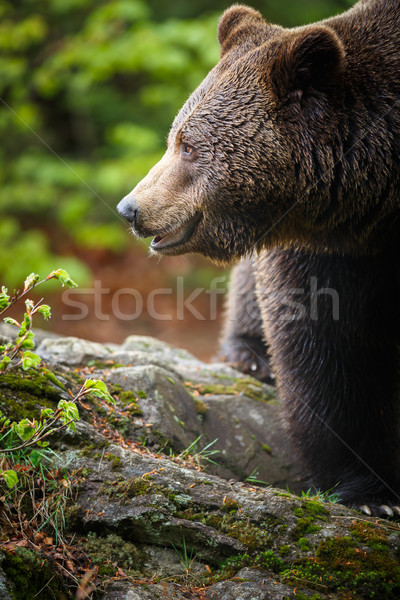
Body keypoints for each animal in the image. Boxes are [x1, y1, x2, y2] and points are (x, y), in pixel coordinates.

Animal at [117, 0, 400, 516]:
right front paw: (372, 492)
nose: (131, 208)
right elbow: (329, 339)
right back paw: (251, 356)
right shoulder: (332, 245)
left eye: (189, 145)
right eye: (174, 135)